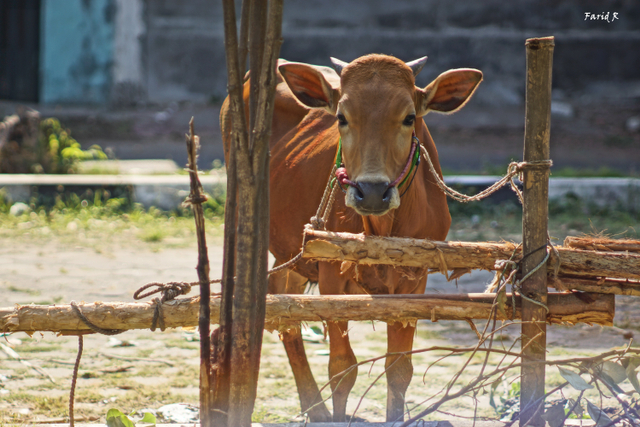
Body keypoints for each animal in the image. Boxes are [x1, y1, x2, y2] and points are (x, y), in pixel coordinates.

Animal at [222, 54, 482, 424]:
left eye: (409, 118)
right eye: (342, 118)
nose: (371, 191)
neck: (383, 227)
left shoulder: (415, 281)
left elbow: (399, 368)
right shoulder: (332, 275)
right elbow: (342, 368)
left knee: (284, 304)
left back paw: (314, 407)